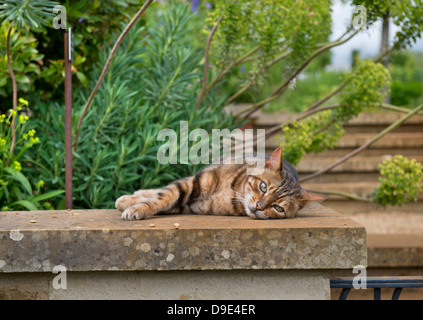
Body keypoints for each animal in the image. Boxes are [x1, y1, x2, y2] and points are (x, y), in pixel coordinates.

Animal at [116, 148, 324, 220]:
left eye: (278, 208)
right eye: (263, 187)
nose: (259, 206)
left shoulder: (189, 206)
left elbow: (166, 201)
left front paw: (136, 206)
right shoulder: (192, 183)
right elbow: (162, 196)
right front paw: (137, 208)